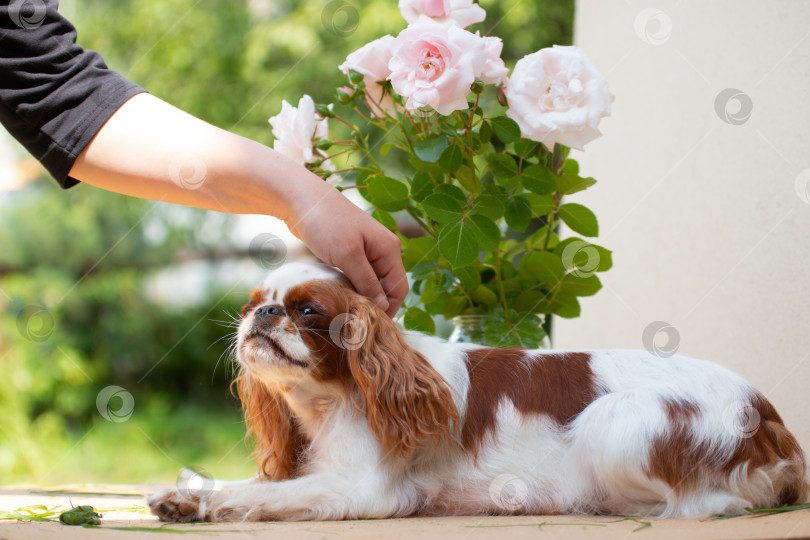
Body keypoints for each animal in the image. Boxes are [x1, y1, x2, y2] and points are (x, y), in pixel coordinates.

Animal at [148, 264, 804, 520]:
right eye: (251, 305)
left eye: (307, 310)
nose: (265, 315)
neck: (334, 398)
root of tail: (769, 416)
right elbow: (246, 483)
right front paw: (185, 496)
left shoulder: (362, 488)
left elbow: (265, 495)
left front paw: (197, 503)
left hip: (617, 421)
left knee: (706, 504)